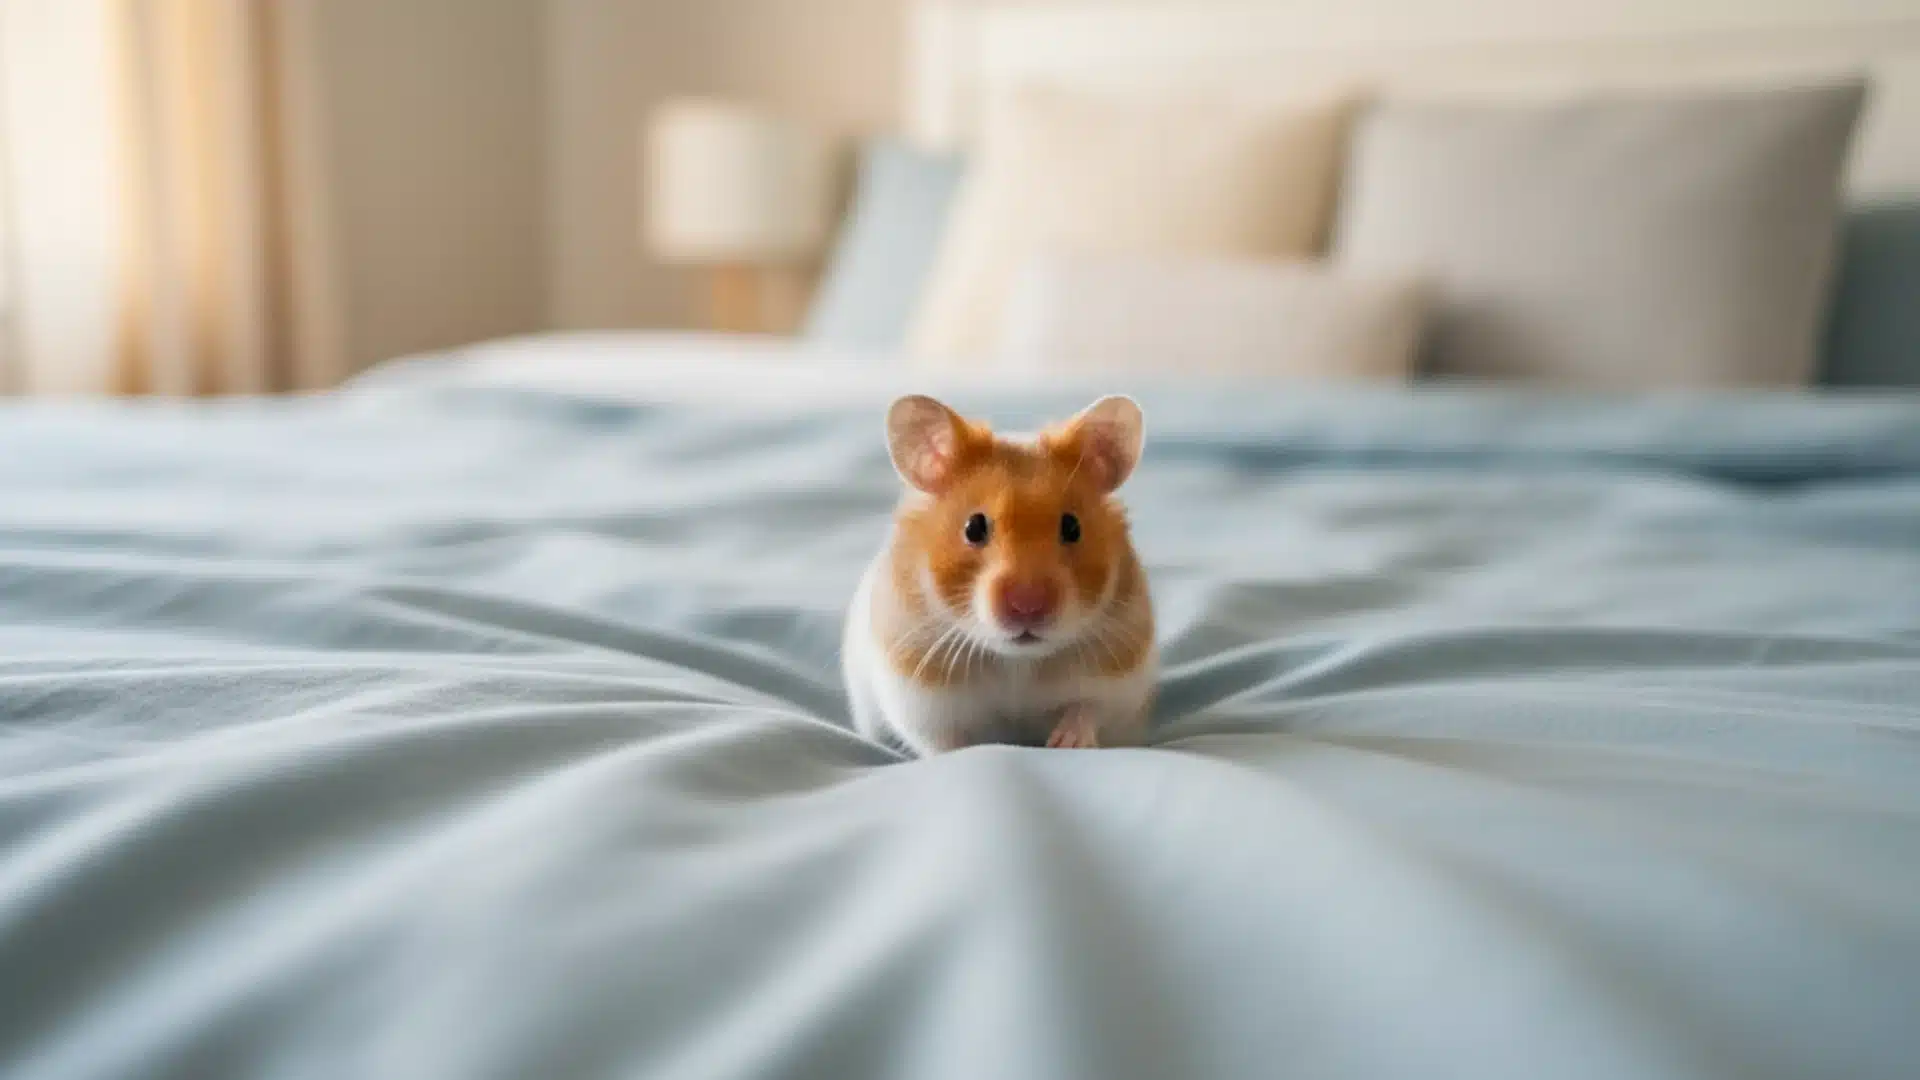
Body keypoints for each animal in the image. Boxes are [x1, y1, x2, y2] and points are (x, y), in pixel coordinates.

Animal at [842, 393, 1157, 756]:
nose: (1027, 605)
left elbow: (1087, 710)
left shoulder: (1120, 679)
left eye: (1072, 527)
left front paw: (1064, 743)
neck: (1017, 662)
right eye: (973, 527)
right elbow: (941, 742)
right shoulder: (917, 696)